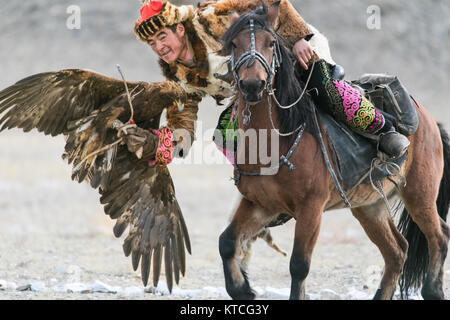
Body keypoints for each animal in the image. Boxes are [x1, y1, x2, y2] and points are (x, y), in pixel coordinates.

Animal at [217, 1, 446, 300]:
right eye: (234, 44)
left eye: (270, 43)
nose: (252, 85)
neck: (276, 141)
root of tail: (429, 120)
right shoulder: (260, 204)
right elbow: (227, 242)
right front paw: (244, 290)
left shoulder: (311, 208)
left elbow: (299, 265)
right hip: (370, 207)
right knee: (397, 251)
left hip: (420, 193)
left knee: (438, 237)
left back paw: (433, 290)